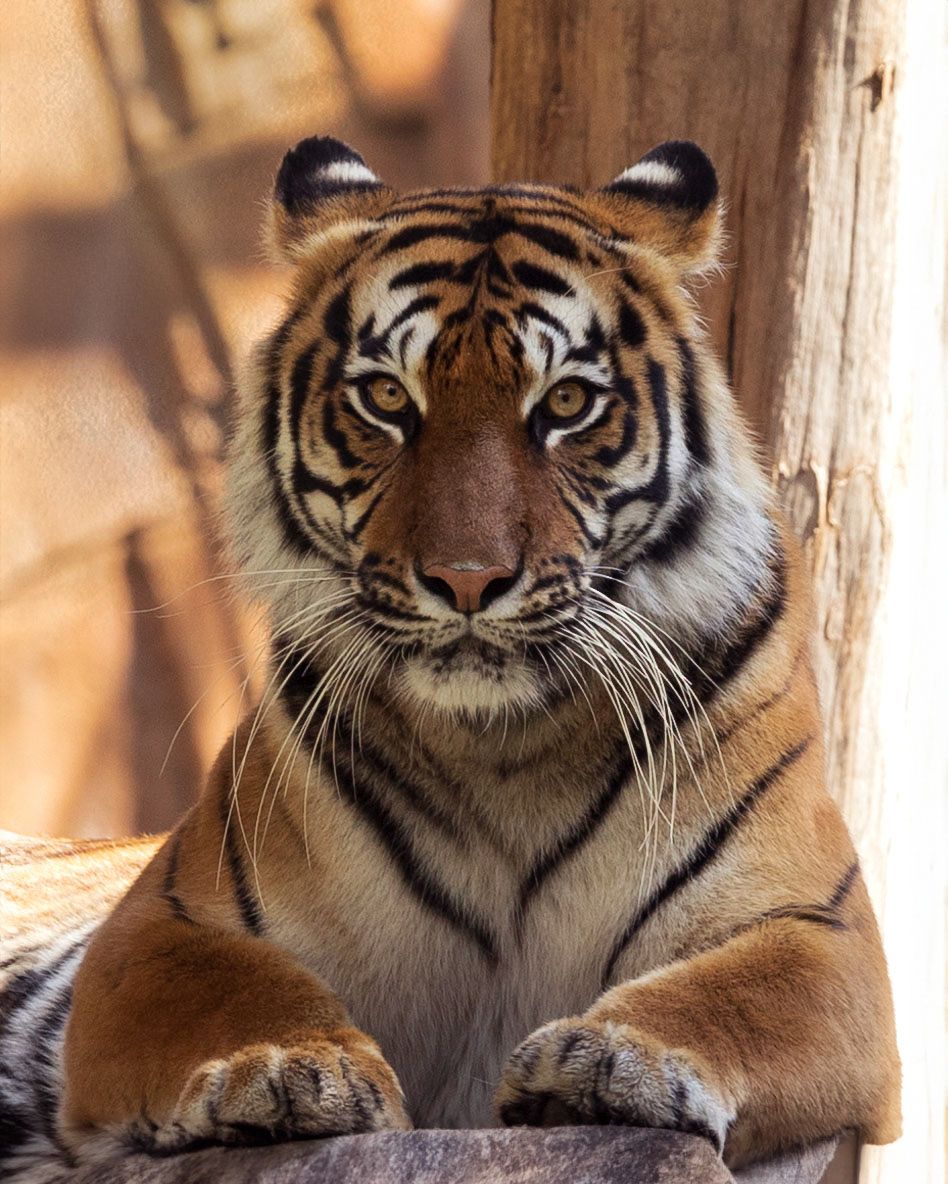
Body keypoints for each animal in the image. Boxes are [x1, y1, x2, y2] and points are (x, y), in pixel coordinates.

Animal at [0, 135, 900, 1180]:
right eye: (388, 396)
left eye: (567, 402)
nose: (468, 580)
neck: (504, 749)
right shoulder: (164, 920)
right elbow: (237, 987)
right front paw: (284, 1069)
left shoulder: (820, 929)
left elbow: (729, 996)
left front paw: (614, 1059)